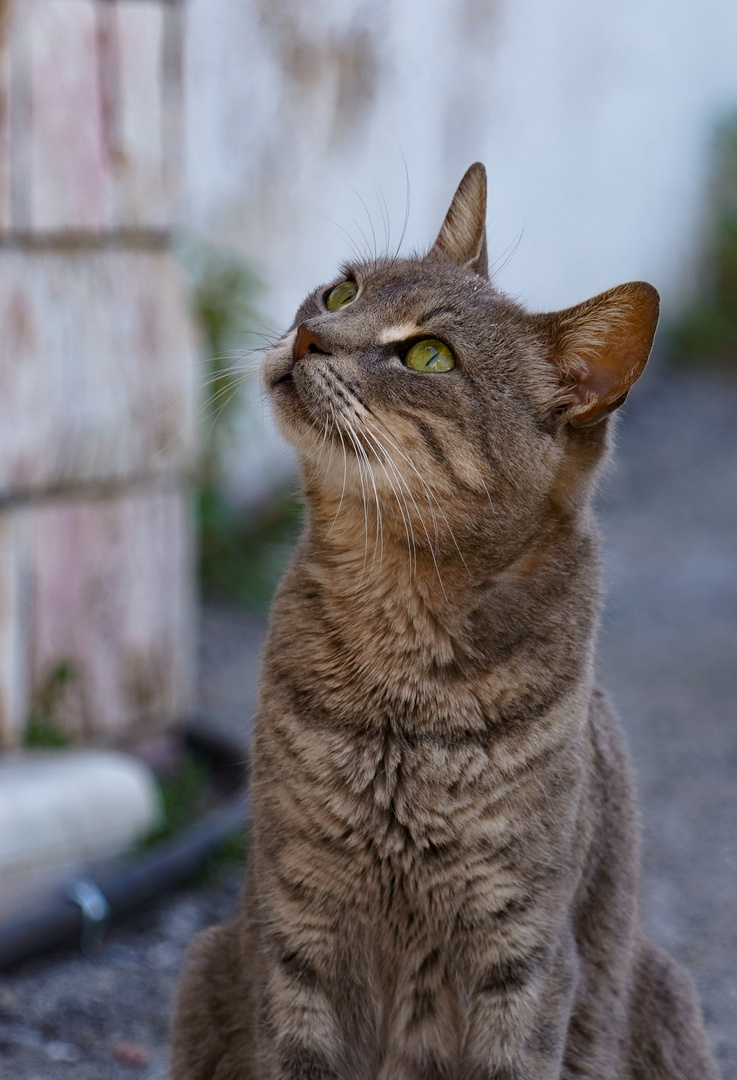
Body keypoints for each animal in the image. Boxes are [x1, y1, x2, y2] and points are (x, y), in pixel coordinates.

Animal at [169, 159, 713, 1080]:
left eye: (428, 356)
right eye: (342, 290)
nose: (311, 335)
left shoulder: (524, 951)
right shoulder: (296, 920)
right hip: (208, 960)